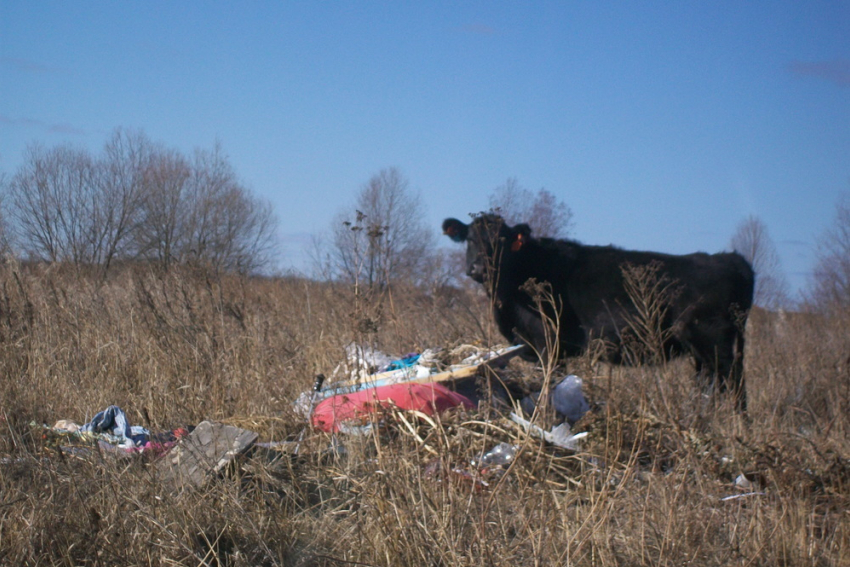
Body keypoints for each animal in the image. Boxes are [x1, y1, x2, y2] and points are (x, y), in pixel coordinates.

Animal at [440, 213, 752, 408]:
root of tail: (732, 259)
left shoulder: (549, 344)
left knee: (735, 386)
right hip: (702, 352)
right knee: (711, 386)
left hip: (714, 341)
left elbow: (548, 385)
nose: (478, 268)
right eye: (470, 239)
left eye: (501, 241)